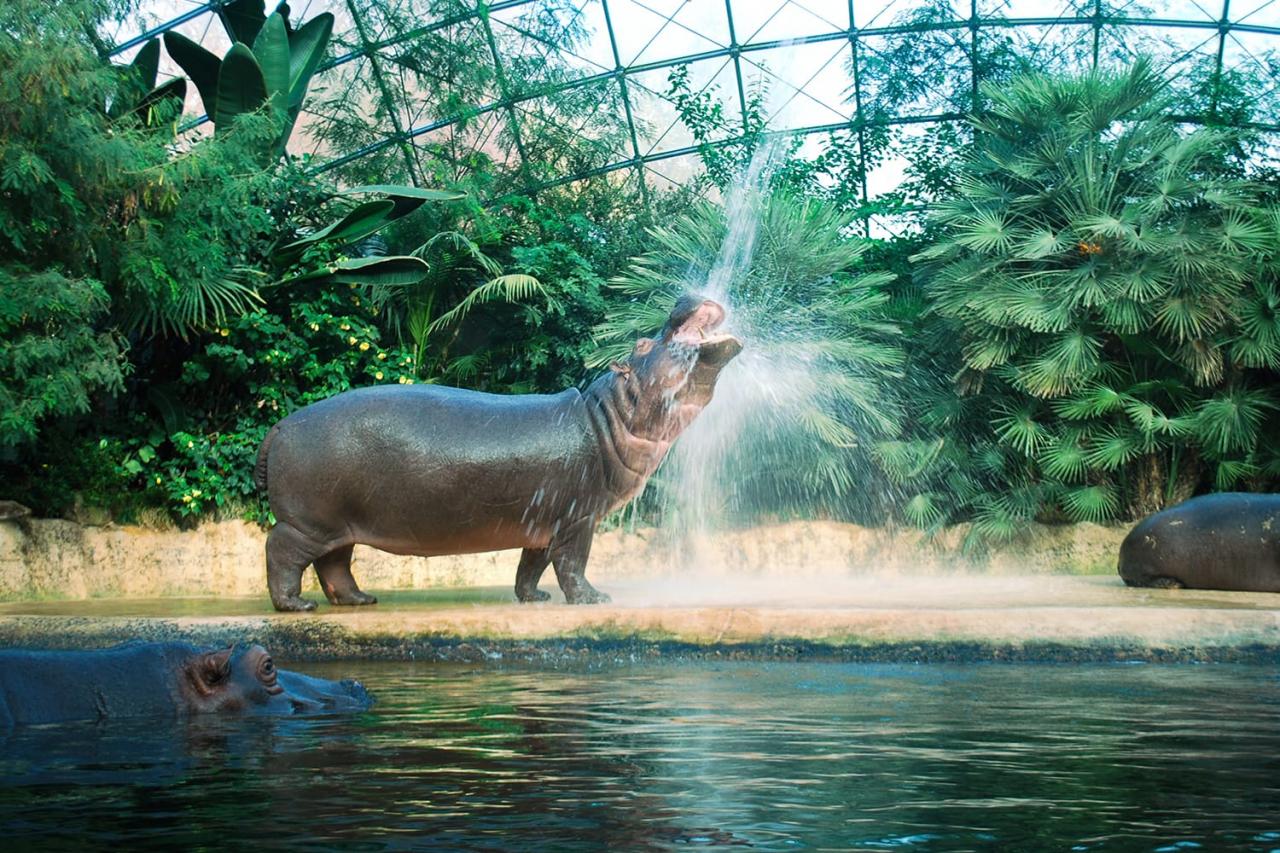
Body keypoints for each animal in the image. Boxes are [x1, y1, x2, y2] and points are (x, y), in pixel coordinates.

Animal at [254, 295, 747, 607]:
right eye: (642, 344)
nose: (681, 298)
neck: (607, 416)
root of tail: (279, 425)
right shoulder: (577, 518)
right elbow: (572, 564)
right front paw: (593, 599)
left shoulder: (543, 520)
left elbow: (532, 565)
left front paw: (534, 598)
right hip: (308, 521)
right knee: (281, 550)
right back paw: (295, 607)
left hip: (338, 524)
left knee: (334, 564)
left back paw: (360, 601)